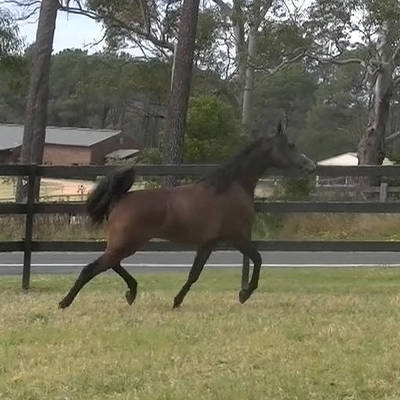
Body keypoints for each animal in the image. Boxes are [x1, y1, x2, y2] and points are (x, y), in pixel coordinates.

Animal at [59, 122, 315, 309]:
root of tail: (119, 199)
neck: (230, 188)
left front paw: (177, 301)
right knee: (93, 267)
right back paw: (65, 302)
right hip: (127, 243)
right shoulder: (237, 237)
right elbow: (258, 258)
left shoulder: (209, 243)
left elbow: (194, 274)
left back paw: (131, 291)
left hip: (127, 244)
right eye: (290, 145)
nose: (310, 166)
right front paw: (245, 293)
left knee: (111, 264)